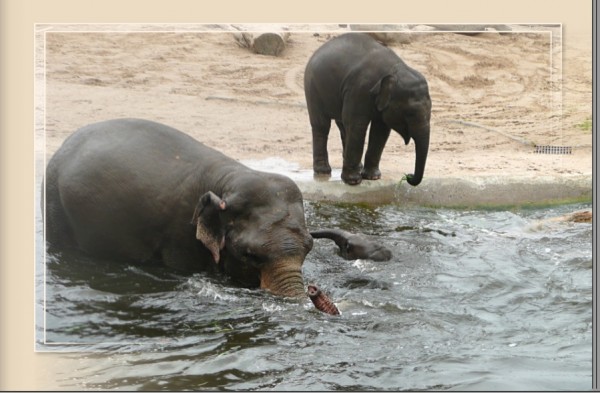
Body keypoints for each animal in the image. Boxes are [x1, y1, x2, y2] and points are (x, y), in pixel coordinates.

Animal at [304, 33, 432, 185]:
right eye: (410, 113)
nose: (408, 175)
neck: (393, 70)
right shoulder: (359, 90)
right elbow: (357, 125)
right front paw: (353, 181)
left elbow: (380, 130)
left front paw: (373, 177)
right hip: (312, 88)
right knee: (321, 125)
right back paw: (322, 171)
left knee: (343, 125)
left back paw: (356, 166)